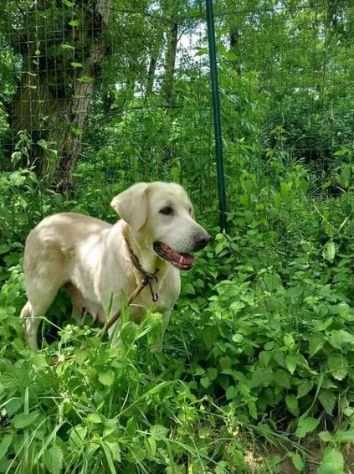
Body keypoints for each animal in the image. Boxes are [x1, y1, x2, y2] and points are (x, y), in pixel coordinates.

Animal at [20, 181, 210, 348]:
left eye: (189, 210)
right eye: (166, 210)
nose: (205, 239)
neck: (145, 274)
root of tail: (42, 223)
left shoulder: (163, 315)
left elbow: (156, 350)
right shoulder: (118, 322)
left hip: (78, 297)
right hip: (42, 292)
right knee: (30, 324)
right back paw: (33, 353)